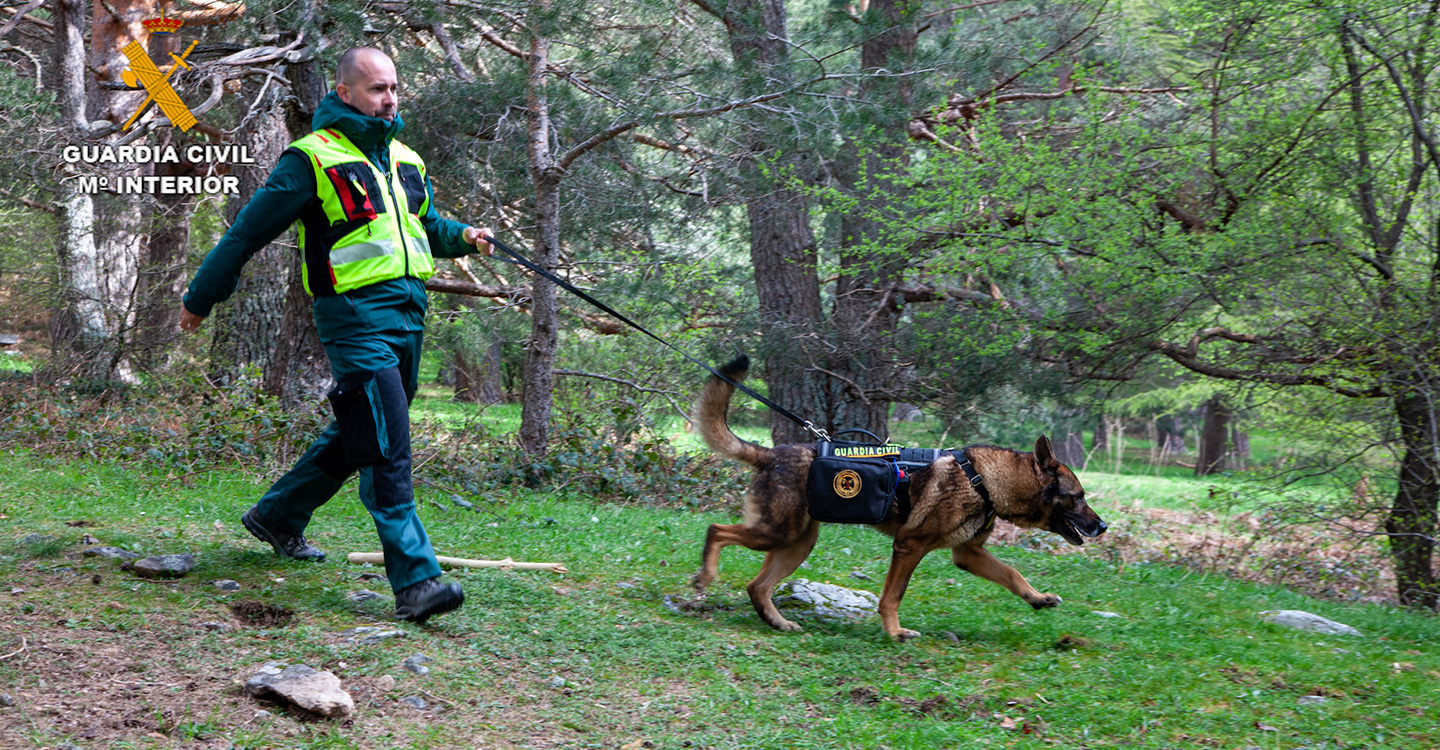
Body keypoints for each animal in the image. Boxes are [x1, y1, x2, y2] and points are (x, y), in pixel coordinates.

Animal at [691, 355, 1105, 636]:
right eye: (1078, 496)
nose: (1102, 526)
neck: (983, 480)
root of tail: (771, 454)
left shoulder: (968, 554)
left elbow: (1012, 573)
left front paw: (1038, 598)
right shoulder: (909, 546)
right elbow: (892, 595)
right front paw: (894, 632)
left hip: (796, 543)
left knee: (757, 586)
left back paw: (777, 621)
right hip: (777, 534)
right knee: (716, 531)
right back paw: (705, 576)